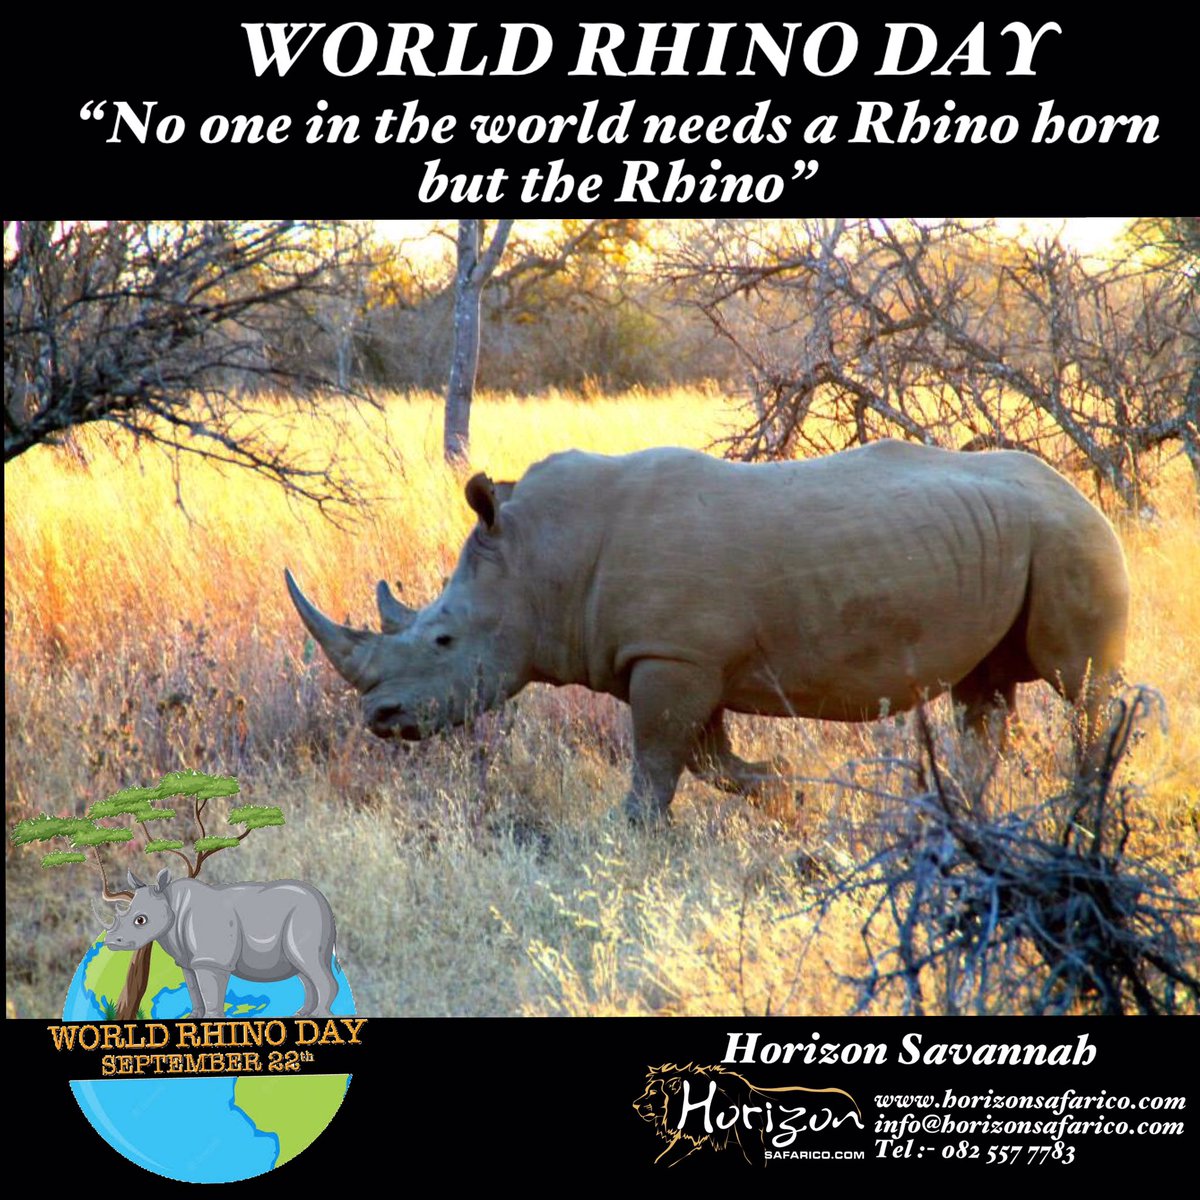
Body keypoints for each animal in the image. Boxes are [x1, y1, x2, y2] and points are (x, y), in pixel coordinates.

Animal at [97, 869, 339, 1017]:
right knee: (303, 971)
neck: (170, 901)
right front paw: (193, 1017)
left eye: (141, 920)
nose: (111, 941)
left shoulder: (211, 961)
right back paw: (301, 1014)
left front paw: (211, 1020)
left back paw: (319, 1017)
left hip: (307, 915)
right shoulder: (186, 960)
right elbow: (193, 989)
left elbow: (210, 992)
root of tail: (326, 904)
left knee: (310, 963)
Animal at [285, 441, 1130, 822]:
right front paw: (792, 796)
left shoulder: (674, 657)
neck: (541, 558)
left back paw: (1086, 798)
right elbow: (706, 758)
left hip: (1070, 540)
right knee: (983, 697)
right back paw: (958, 811)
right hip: (1016, 541)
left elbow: (659, 761)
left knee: (1079, 684)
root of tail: (1085, 493)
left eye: (444, 641)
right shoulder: (686, 659)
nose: (378, 718)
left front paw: (629, 840)